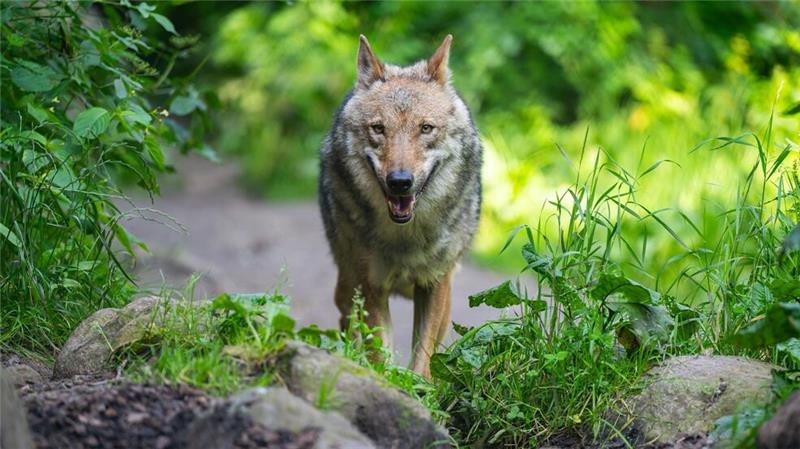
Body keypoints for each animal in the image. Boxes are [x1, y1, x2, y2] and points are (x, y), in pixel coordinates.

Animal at [318, 34, 482, 377]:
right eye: (379, 129)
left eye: (426, 128)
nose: (400, 182)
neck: (406, 238)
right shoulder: (370, 286)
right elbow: (380, 354)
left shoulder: (435, 283)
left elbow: (423, 357)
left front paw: (418, 387)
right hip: (347, 284)